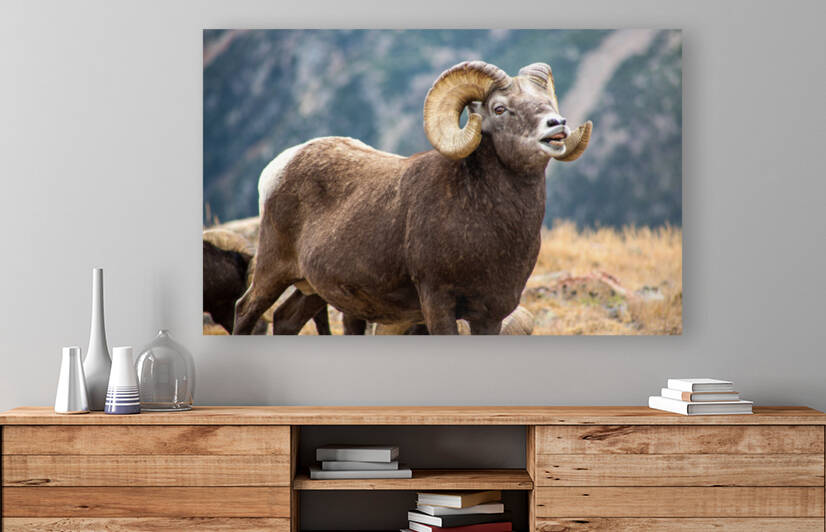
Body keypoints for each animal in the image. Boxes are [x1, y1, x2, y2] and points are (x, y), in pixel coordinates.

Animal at [233, 61, 591, 335]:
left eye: (548, 101)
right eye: (500, 108)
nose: (556, 125)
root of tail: (281, 165)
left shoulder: (490, 314)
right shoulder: (437, 303)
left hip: (314, 289)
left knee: (285, 320)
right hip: (272, 270)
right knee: (245, 310)